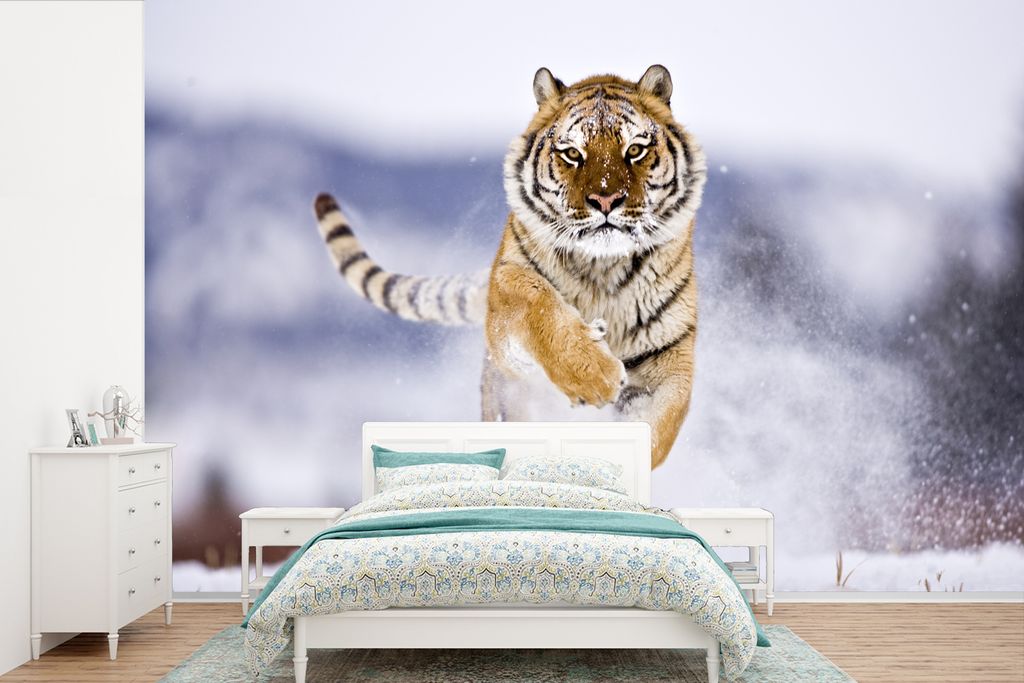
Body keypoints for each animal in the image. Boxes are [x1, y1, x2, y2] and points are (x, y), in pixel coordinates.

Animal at [313, 65, 706, 468]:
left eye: (635, 150)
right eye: (572, 153)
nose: (606, 199)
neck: (603, 269)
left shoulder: (669, 360)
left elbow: (655, 430)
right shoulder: (505, 299)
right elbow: (537, 301)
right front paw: (596, 376)